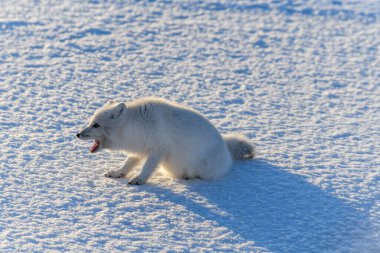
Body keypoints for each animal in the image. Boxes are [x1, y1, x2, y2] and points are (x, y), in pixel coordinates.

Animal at [76, 98, 255, 185]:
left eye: (96, 125)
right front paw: (117, 173)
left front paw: (139, 180)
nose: (77, 134)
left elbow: (147, 168)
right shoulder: (139, 150)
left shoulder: (158, 150)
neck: (136, 124)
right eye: (90, 122)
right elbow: (127, 164)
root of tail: (227, 151)